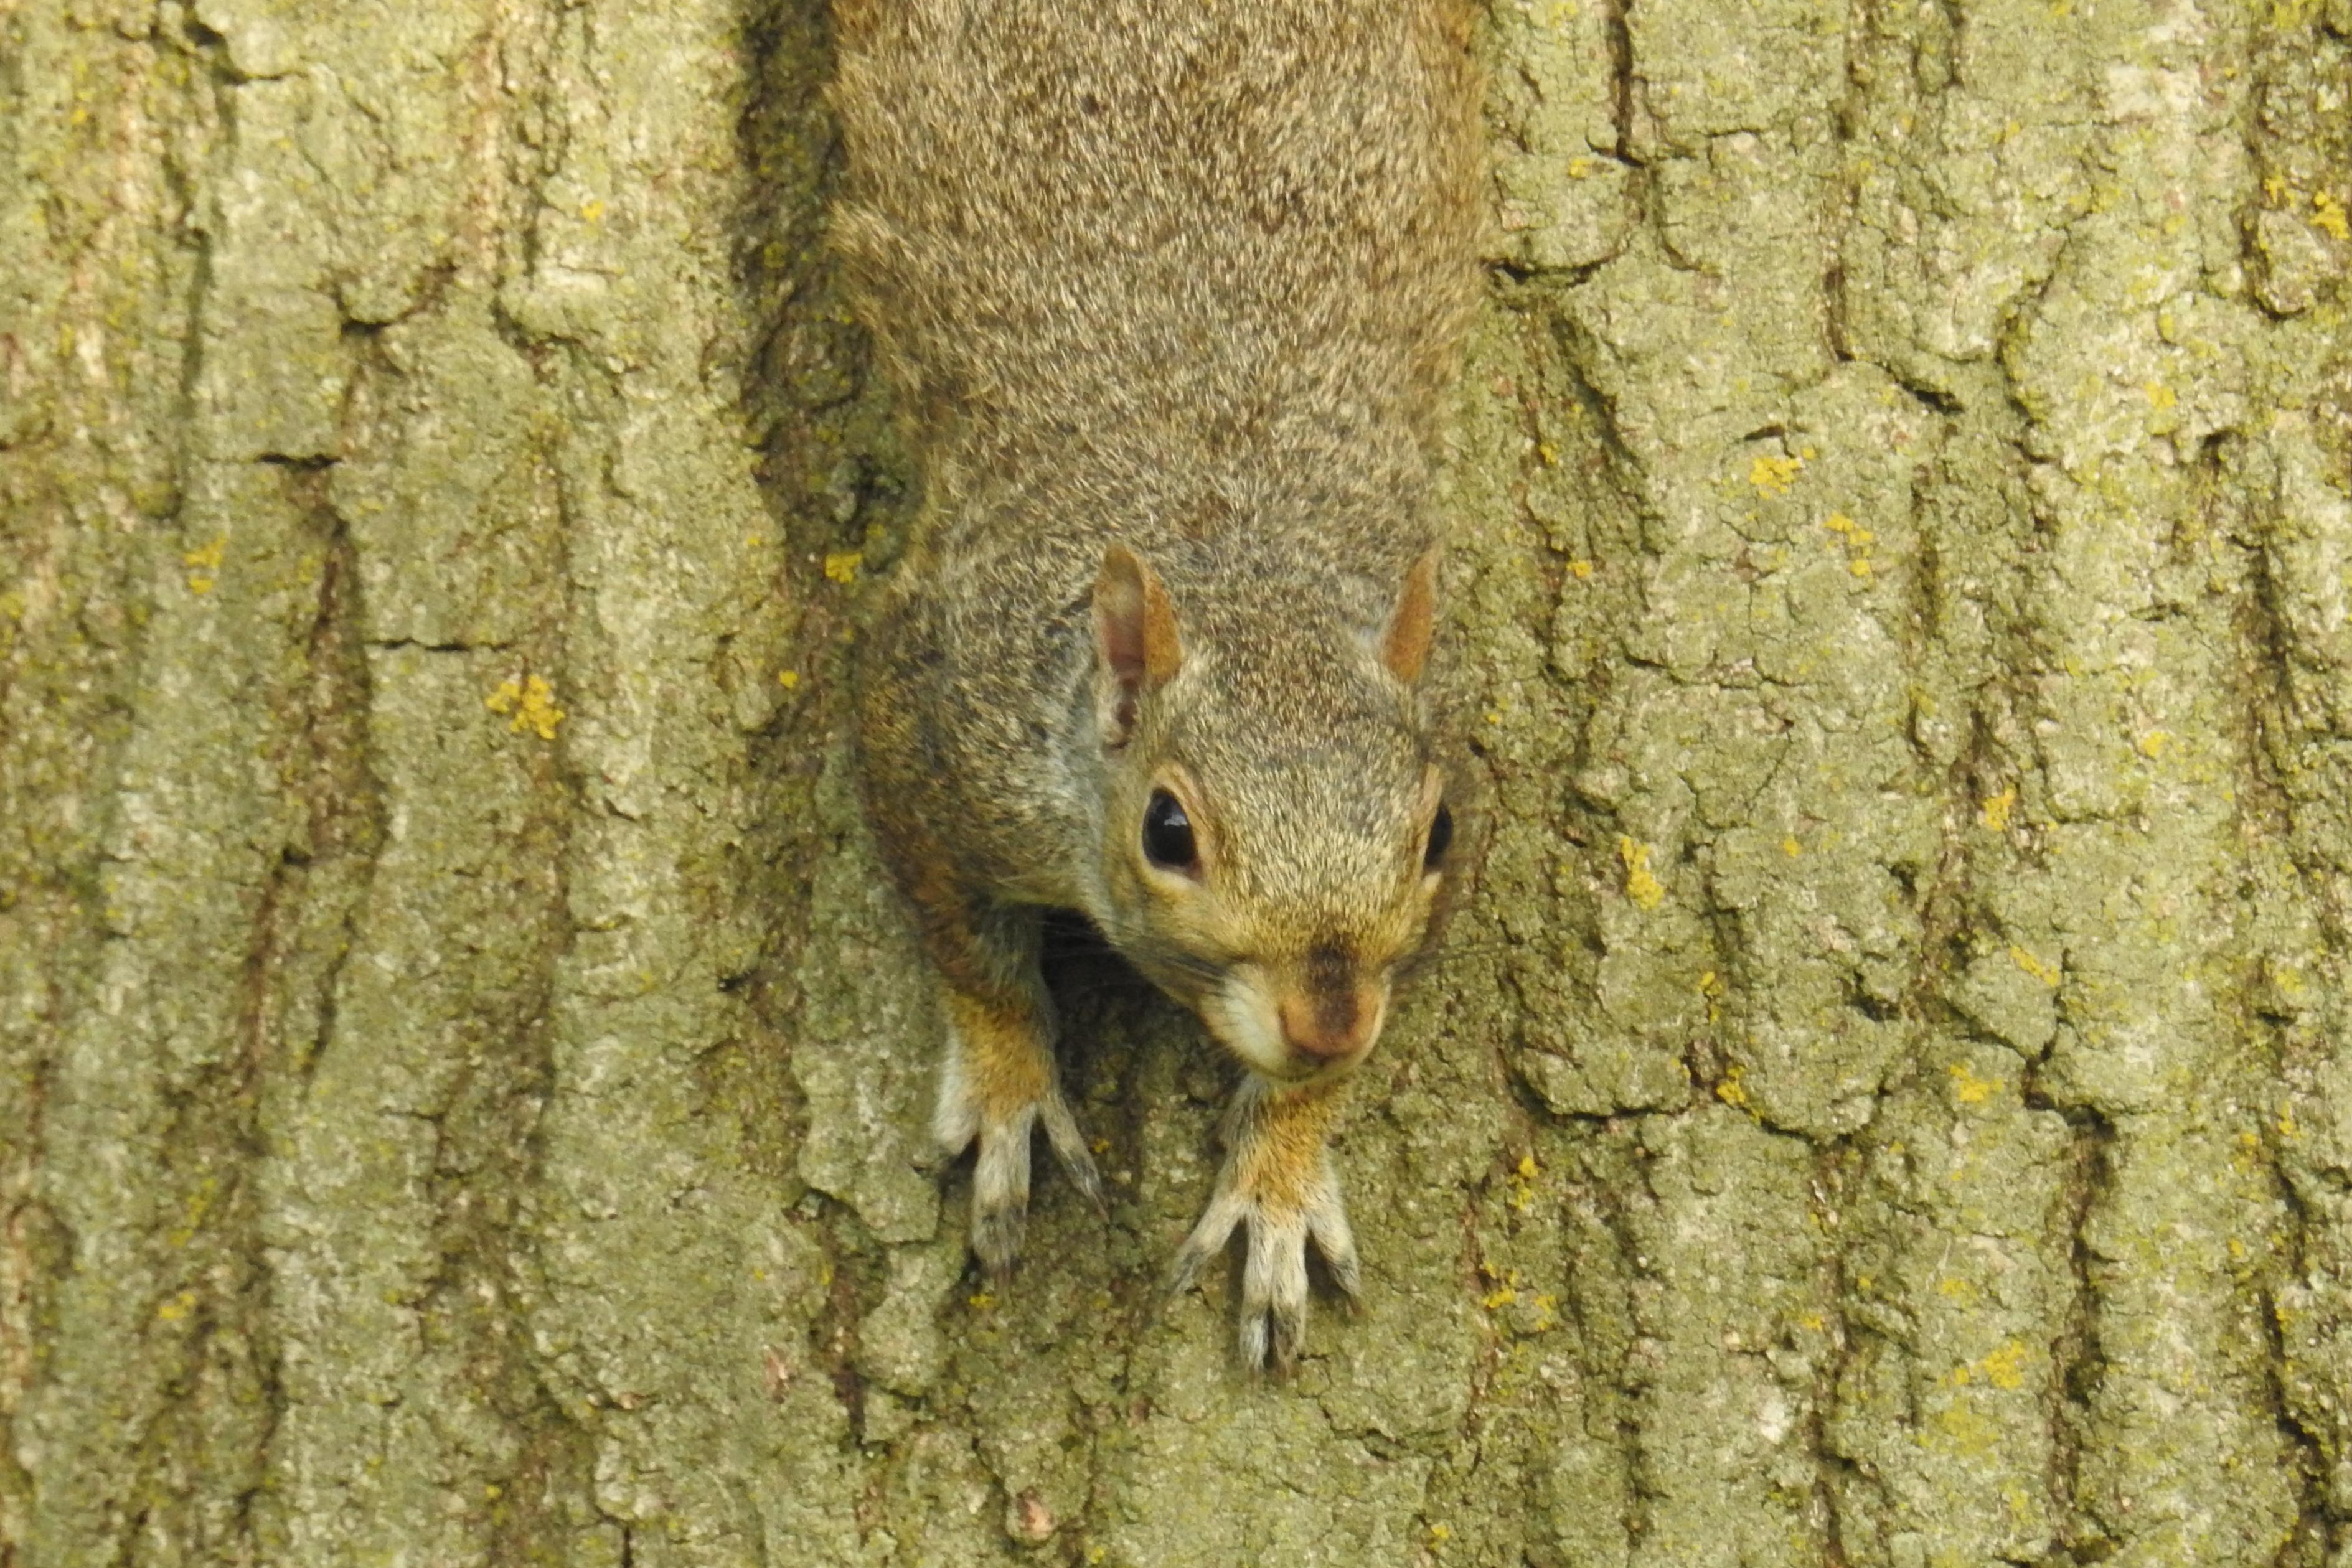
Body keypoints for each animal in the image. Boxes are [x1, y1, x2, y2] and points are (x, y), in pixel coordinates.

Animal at [837, 0, 1477, 1373]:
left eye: (1440, 829)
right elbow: (966, 948)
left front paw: (1279, 1171)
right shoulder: (932, 725)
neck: (1238, 553)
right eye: (1166, 830)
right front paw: (1012, 1084)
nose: (1325, 1017)